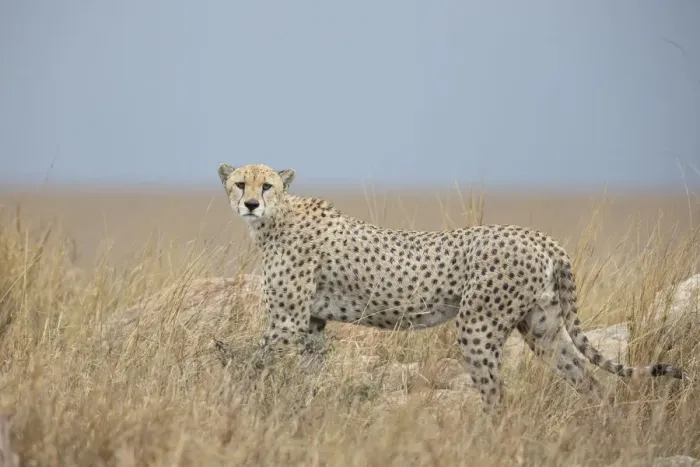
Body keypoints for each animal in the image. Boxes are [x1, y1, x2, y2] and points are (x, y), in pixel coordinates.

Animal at [217, 162, 688, 412]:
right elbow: (307, 372)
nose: (251, 203)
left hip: (478, 326)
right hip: (543, 328)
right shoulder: (311, 322)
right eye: (240, 183)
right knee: (587, 379)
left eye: (267, 185)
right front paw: (306, 408)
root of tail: (539, 235)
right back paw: (603, 424)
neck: (275, 219)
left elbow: (253, 364)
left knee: (497, 396)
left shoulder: (286, 322)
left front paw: (236, 401)